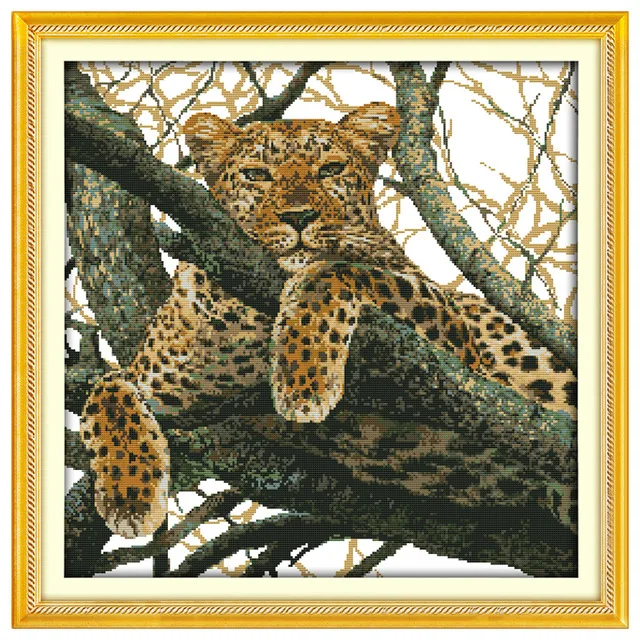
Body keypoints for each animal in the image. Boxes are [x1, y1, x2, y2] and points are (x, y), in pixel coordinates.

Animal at [79, 102, 576, 539]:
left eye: (331, 170)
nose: (299, 216)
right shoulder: (170, 384)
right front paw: (128, 498)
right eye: (257, 175)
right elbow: (105, 390)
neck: (251, 311)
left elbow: (330, 271)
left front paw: (303, 384)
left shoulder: (459, 351)